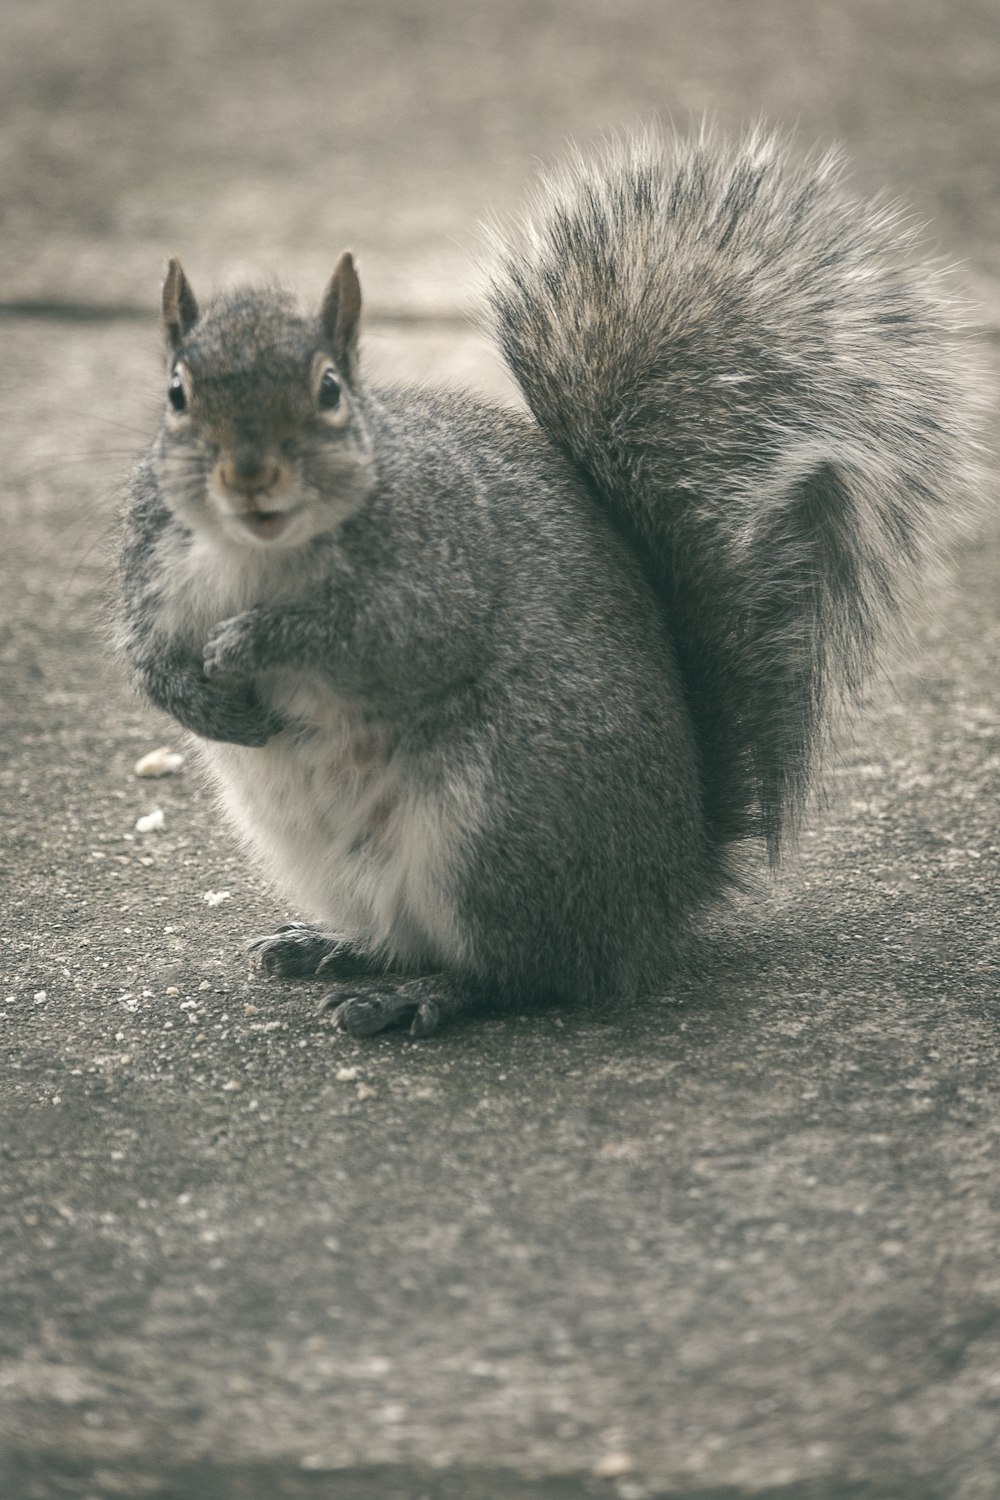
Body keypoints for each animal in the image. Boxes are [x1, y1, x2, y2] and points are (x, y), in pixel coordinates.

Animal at [119, 126, 983, 1032]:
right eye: (177, 393)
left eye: (328, 390)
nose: (250, 478)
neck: (258, 549)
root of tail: (668, 886)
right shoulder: (153, 564)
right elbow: (145, 658)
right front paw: (199, 701)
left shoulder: (439, 567)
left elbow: (382, 641)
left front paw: (252, 641)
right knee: (418, 939)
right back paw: (334, 948)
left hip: (501, 832)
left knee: (530, 971)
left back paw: (424, 996)